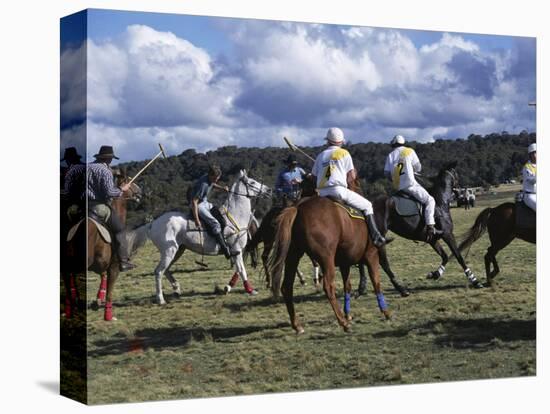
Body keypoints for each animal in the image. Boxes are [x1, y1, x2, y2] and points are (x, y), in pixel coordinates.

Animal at [123, 168, 274, 304]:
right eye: (252, 182)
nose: (268, 190)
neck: (235, 216)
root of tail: (152, 223)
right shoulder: (236, 250)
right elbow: (242, 270)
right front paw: (250, 290)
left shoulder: (238, 252)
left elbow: (238, 270)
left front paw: (230, 287)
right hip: (169, 251)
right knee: (159, 271)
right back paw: (160, 299)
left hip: (178, 250)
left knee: (166, 270)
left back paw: (177, 289)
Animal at [268, 196, 390, 334]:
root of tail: (298, 207)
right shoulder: (371, 255)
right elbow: (376, 282)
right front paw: (386, 312)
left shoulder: (345, 263)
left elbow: (347, 286)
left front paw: (348, 314)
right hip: (327, 260)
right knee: (328, 287)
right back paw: (343, 323)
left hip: (293, 257)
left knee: (287, 287)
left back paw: (297, 326)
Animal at [368, 161, 486, 294]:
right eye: (456, 173)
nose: (461, 190)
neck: (440, 201)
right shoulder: (447, 234)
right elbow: (458, 256)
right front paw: (475, 281)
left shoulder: (432, 239)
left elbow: (445, 256)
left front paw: (435, 274)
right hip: (380, 237)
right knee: (383, 262)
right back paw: (401, 289)